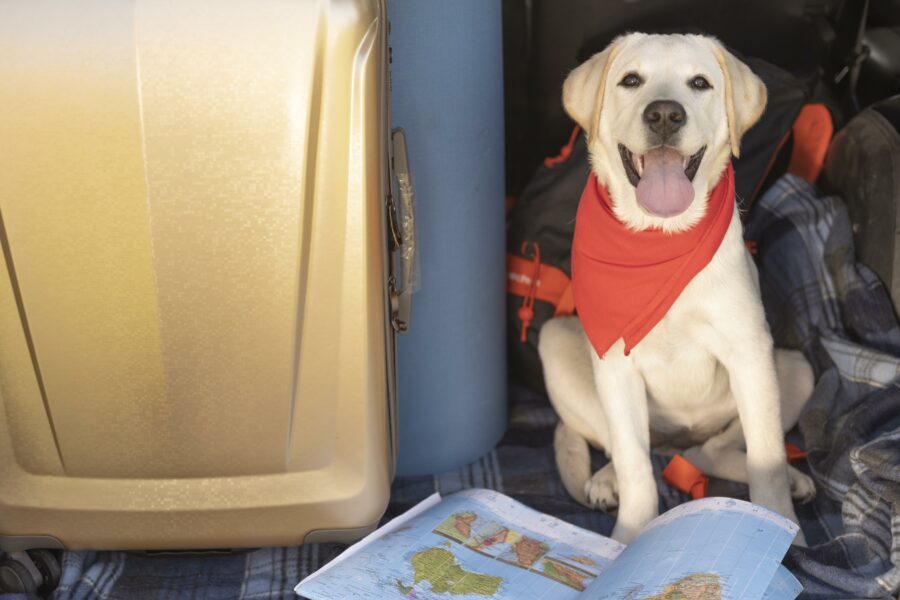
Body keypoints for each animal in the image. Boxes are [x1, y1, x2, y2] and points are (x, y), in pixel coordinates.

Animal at [536, 35, 820, 548]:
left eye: (700, 83)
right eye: (631, 80)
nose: (665, 114)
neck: (660, 237)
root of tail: (678, 442)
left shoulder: (750, 353)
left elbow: (766, 461)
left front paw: (784, 533)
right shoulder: (616, 364)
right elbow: (635, 467)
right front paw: (627, 540)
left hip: (794, 370)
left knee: (714, 452)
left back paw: (790, 479)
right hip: (557, 344)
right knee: (630, 451)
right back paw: (605, 480)